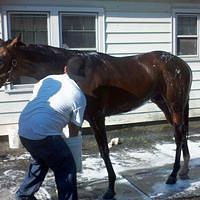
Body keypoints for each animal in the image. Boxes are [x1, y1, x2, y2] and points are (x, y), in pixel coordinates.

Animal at [0, 36, 193, 200]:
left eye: (2, 57)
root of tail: (183, 65)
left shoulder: (97, 118)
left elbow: (104, 151)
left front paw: (110, 189)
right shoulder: (76, 120)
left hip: (174, 105)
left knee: (178, 135)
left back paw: (173, 175)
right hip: (165, 105)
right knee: (181, 131)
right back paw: (184, 170)